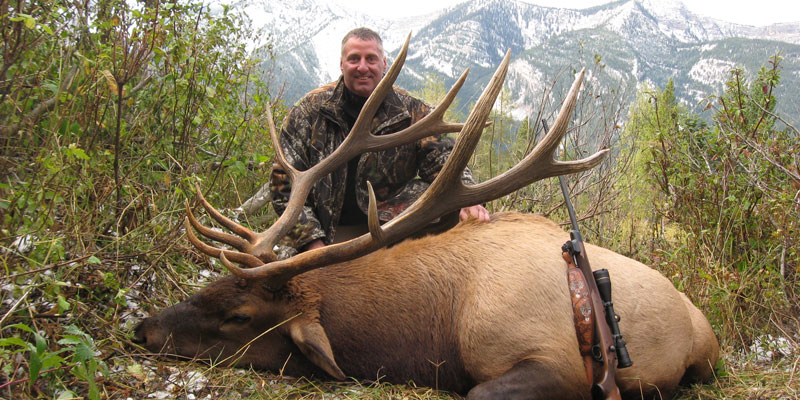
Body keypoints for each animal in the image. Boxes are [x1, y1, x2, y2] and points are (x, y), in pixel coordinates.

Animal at [133, 35, 719, 399]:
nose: (143, 328)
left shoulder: (559, 362)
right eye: (207, 287)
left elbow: (480, 391)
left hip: (706, 355)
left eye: (240, 316)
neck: (435, 334)